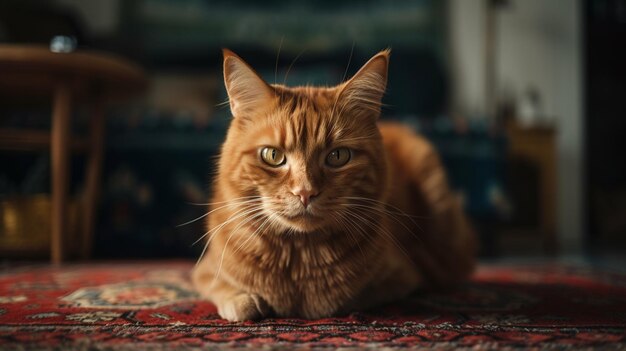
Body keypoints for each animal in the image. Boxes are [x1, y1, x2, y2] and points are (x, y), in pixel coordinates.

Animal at [193, 48, 476, 322]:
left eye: (337, 156)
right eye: (273, 156)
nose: (305, 192)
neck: (299, 257)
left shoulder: (404, 275)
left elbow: (340, 299)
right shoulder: (203, 270)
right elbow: (225, 290)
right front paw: (245, 300)